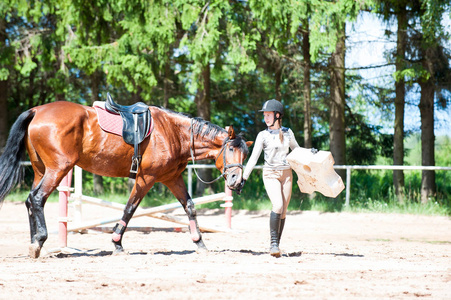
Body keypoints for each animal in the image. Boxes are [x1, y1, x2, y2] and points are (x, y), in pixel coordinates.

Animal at [0, 101, 252, 258]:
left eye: (245, 154)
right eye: (230, 149)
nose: (236, 181)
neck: (173, 132)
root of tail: (37, 110)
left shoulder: (172, 178)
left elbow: (189, 206)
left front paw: (199, 242)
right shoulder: (146, 178)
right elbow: (130, 209)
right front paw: (117, 244)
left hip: (41, 170)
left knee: (30, 201)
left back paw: (35, 244)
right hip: (58, 169)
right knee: (37, 199)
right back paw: (39, 241)